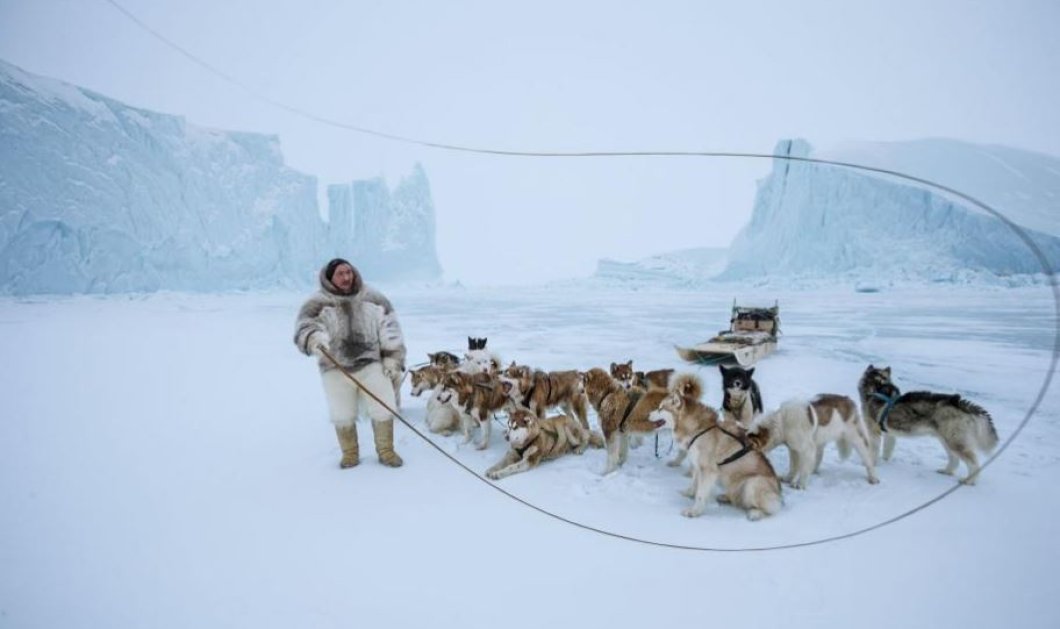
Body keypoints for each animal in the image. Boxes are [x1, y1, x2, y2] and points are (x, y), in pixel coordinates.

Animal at [648, 373, 784, 519]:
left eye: (660, 408)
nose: (647, 414)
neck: (698, 429)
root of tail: (779, 496)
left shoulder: (708, 470)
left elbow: (701, 494)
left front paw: (694, 511)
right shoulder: (698, 466)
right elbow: (694, 484)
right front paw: (689, 493)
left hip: (752, 484)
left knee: (769, 509)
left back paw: (755, 513)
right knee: (738, 499)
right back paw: (725, 497)